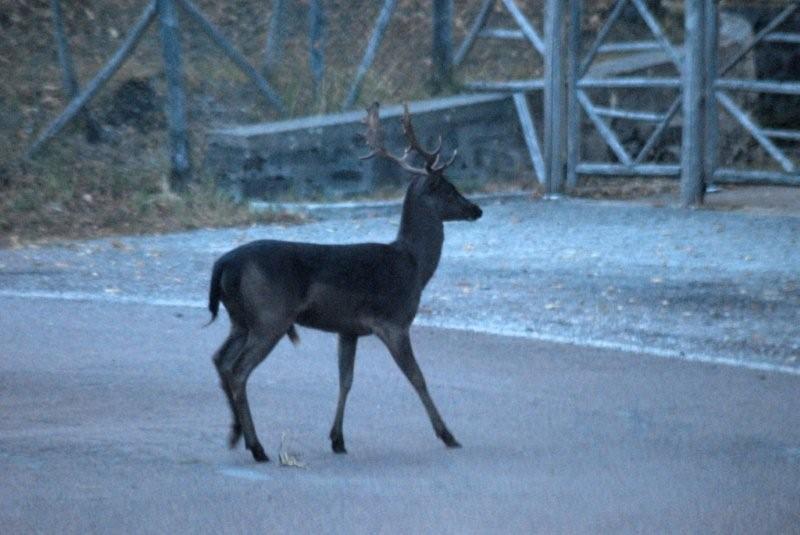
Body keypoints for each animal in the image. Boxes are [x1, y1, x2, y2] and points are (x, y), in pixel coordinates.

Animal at [206, 102, 482, 462]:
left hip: (241, 318)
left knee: (220, 360)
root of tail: (223, 264)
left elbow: (345, 379)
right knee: (239, 370)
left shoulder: (347, 329)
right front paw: (447, 435)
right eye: (449, 188)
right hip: (270, 316)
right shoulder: (393, 321)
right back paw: (257, 447)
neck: (414, 265)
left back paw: (236, 434)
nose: (476, 209)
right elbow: (417, 377)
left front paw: (337, 439)